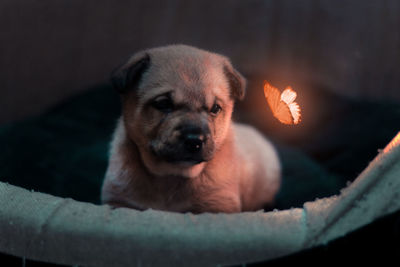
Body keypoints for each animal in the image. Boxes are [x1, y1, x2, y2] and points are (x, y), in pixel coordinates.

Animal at [101, 45, 282, 214]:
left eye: (215, 108)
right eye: (163, 103)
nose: (195, 141)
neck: (171, 175)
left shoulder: (218, 204)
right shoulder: (119, 200)